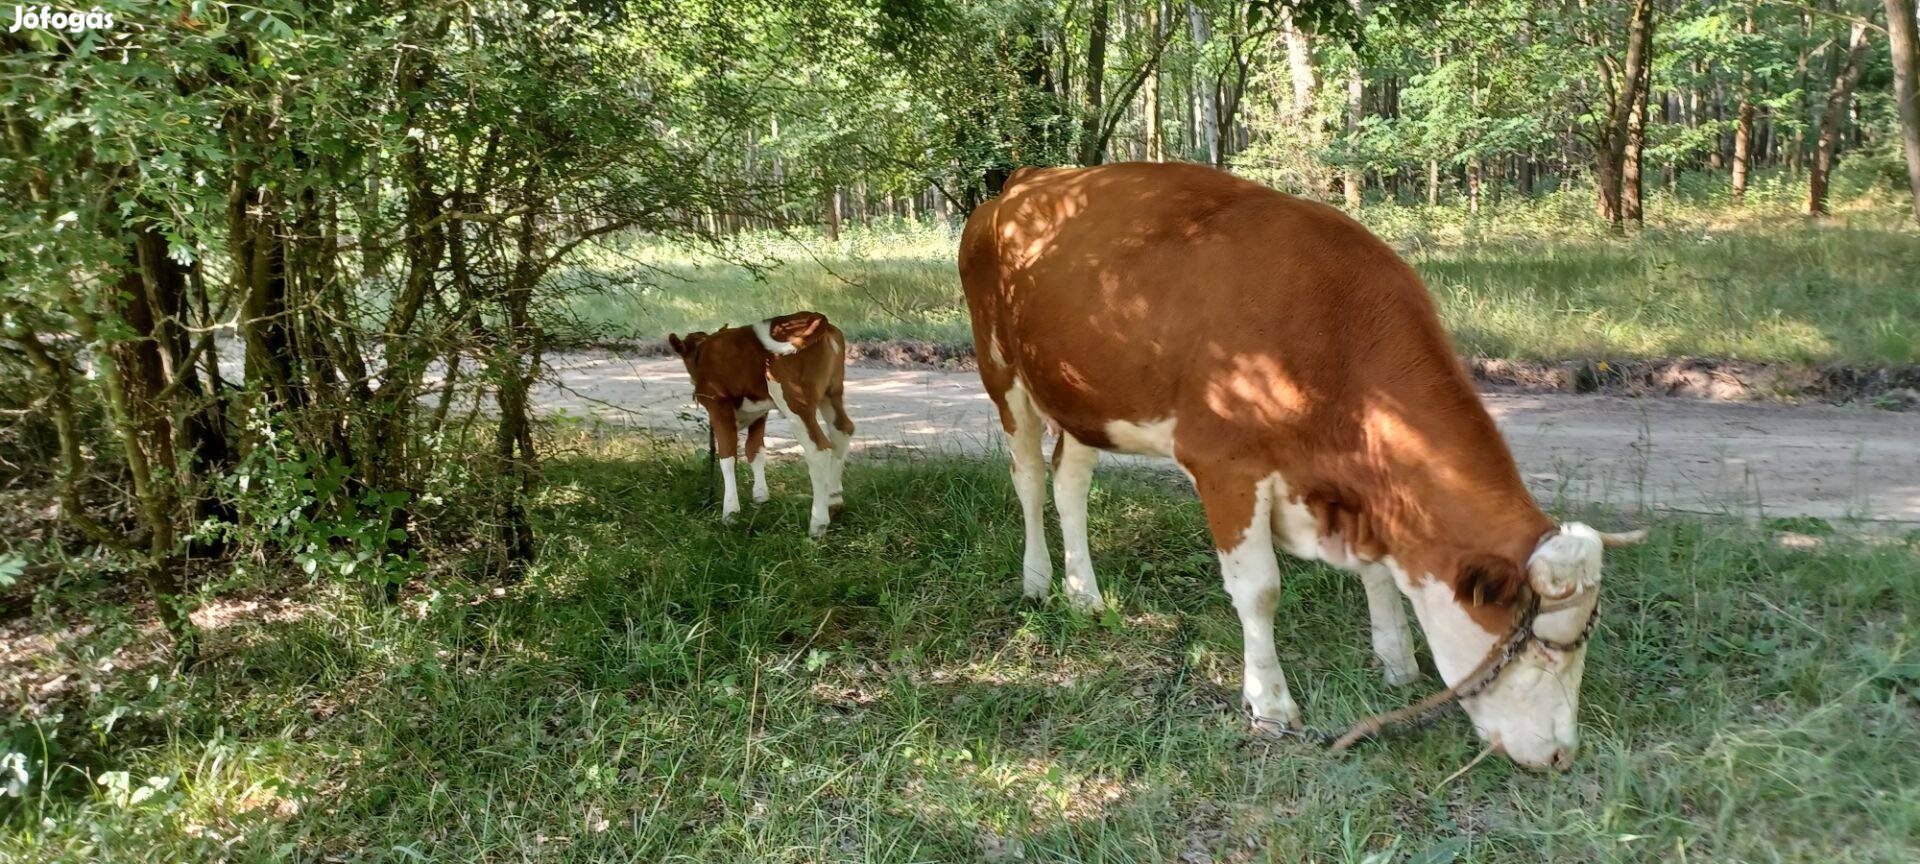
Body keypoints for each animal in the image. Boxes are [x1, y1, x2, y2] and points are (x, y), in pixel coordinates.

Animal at [675, 311, 856, 533]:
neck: (702, 351)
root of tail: (816, 317)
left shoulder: (719, 405)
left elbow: (727, 456)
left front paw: (730, 513)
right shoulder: (759, 411)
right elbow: (755, 449)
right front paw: (760, 496)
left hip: (796, 402)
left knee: (818, 449)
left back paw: (818, 523)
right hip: (832, 393)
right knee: (842, 432)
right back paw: (834, 501)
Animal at [960, 162, 1651, 768]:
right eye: (1540, 650)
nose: (1561, 755)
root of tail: (1024, 182)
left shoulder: (1356, 493)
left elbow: (1379, 574)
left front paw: (1397, 661)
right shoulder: (1226, 466)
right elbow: (1259, 590)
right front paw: (1269, 705)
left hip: (1085, 400)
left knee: (1070, 481)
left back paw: (1085, 594)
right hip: (1002, 371)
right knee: (1029, 479)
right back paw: (1039, 580)